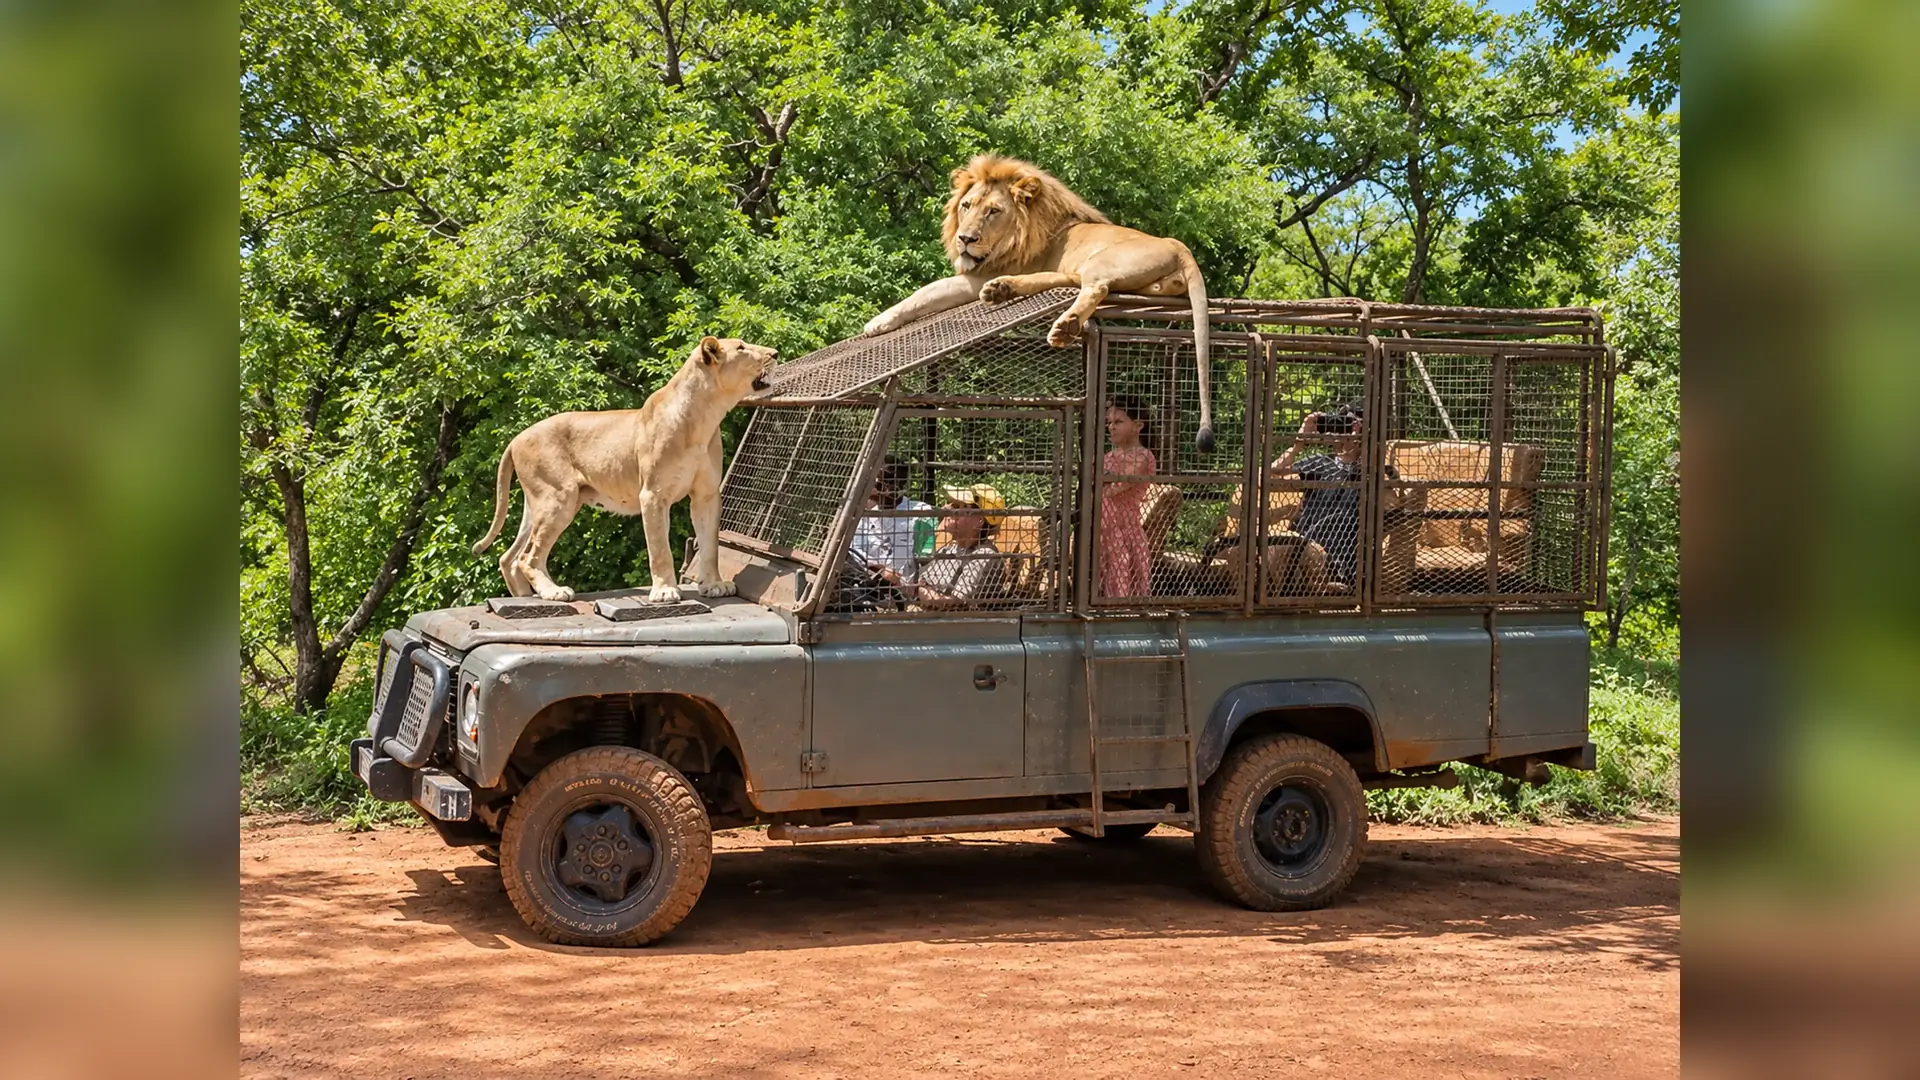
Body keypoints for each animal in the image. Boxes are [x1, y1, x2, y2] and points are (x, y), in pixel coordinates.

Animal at [472, 336, 778, 604]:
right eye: (741, 347)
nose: (775, 353)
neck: (705, 417)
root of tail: (516, 438)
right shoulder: (652, 494)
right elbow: (660, 548)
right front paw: (665, 592)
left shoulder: (706, 495)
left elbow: (710, 545)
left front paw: (713, 584)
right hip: (558, 497)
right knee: (527, 557)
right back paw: (553, 592)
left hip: (538, 504)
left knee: (509, 558)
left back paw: (527, 597)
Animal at [863, 154, 1217, 450]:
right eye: (966, 205)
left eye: (993, 211)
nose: (965, 239)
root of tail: (1180, 246)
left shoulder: (977, 275)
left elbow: (925, 292)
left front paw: (878, 322)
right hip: (1085, 269)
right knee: (1065, 281)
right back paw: (1002, 290)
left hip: (1100, 262)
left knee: (1095, 288)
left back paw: (1061, 325)